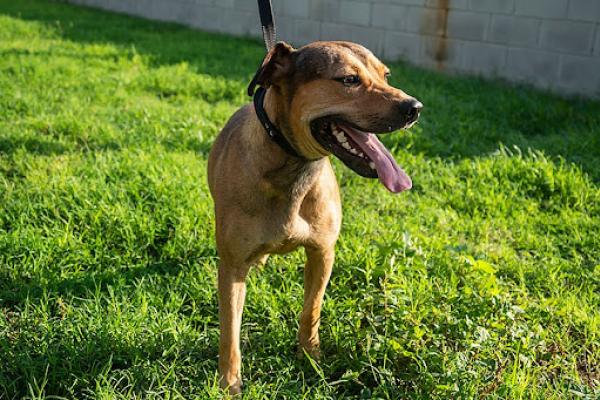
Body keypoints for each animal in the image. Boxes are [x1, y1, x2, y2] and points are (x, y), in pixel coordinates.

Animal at [206, 41, 422, 394]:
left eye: (385, 75)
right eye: (349, 80)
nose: (414, 108)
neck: (293, 166)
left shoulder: (322, 252)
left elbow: (312, 309)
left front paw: (310, 356)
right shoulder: (232, 267)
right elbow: (230, 331)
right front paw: (229, 382)